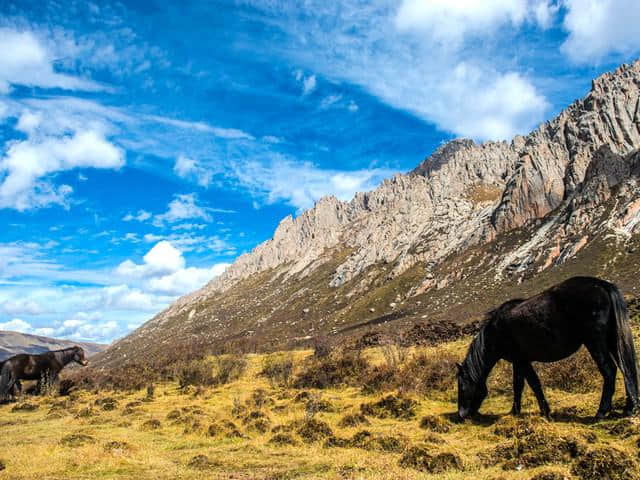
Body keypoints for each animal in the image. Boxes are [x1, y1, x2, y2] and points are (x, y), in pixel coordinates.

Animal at [458, 278, 636, 420]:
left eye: (462, 386)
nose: (462, 415)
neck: (496, 331)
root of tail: (602, 285)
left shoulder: (522, 360)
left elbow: (532, 384)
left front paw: (545, 412)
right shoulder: (518, 361)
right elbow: (518, 385)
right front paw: (515, 412)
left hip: (595, 342)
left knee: (609, 370)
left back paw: (601, 413)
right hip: (612, 340)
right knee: (625, 367)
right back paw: (630, 408)